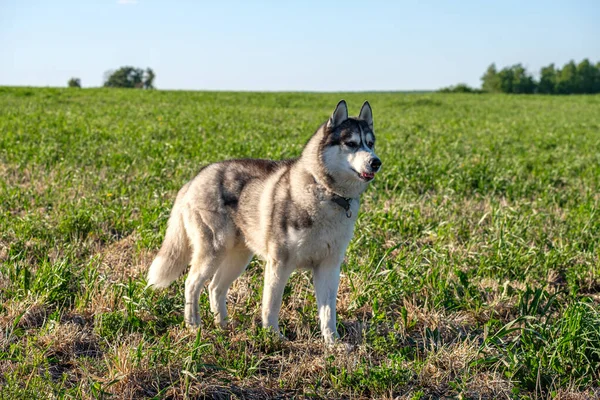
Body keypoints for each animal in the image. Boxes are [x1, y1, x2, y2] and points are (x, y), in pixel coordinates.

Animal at [146, 101, 380, 344]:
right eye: (351, 144)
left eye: (370, 143)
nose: (376, 162)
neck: (326, 194)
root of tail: (194, 179)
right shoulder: (279, 262)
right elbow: (271, 305)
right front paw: (273, 338)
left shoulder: (329, 266)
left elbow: (328, 312)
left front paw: (333, 343)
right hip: (213, 250)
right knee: (191, 284)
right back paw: (193, 326)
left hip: (239, 257)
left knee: (215, 287)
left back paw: (223, 326)